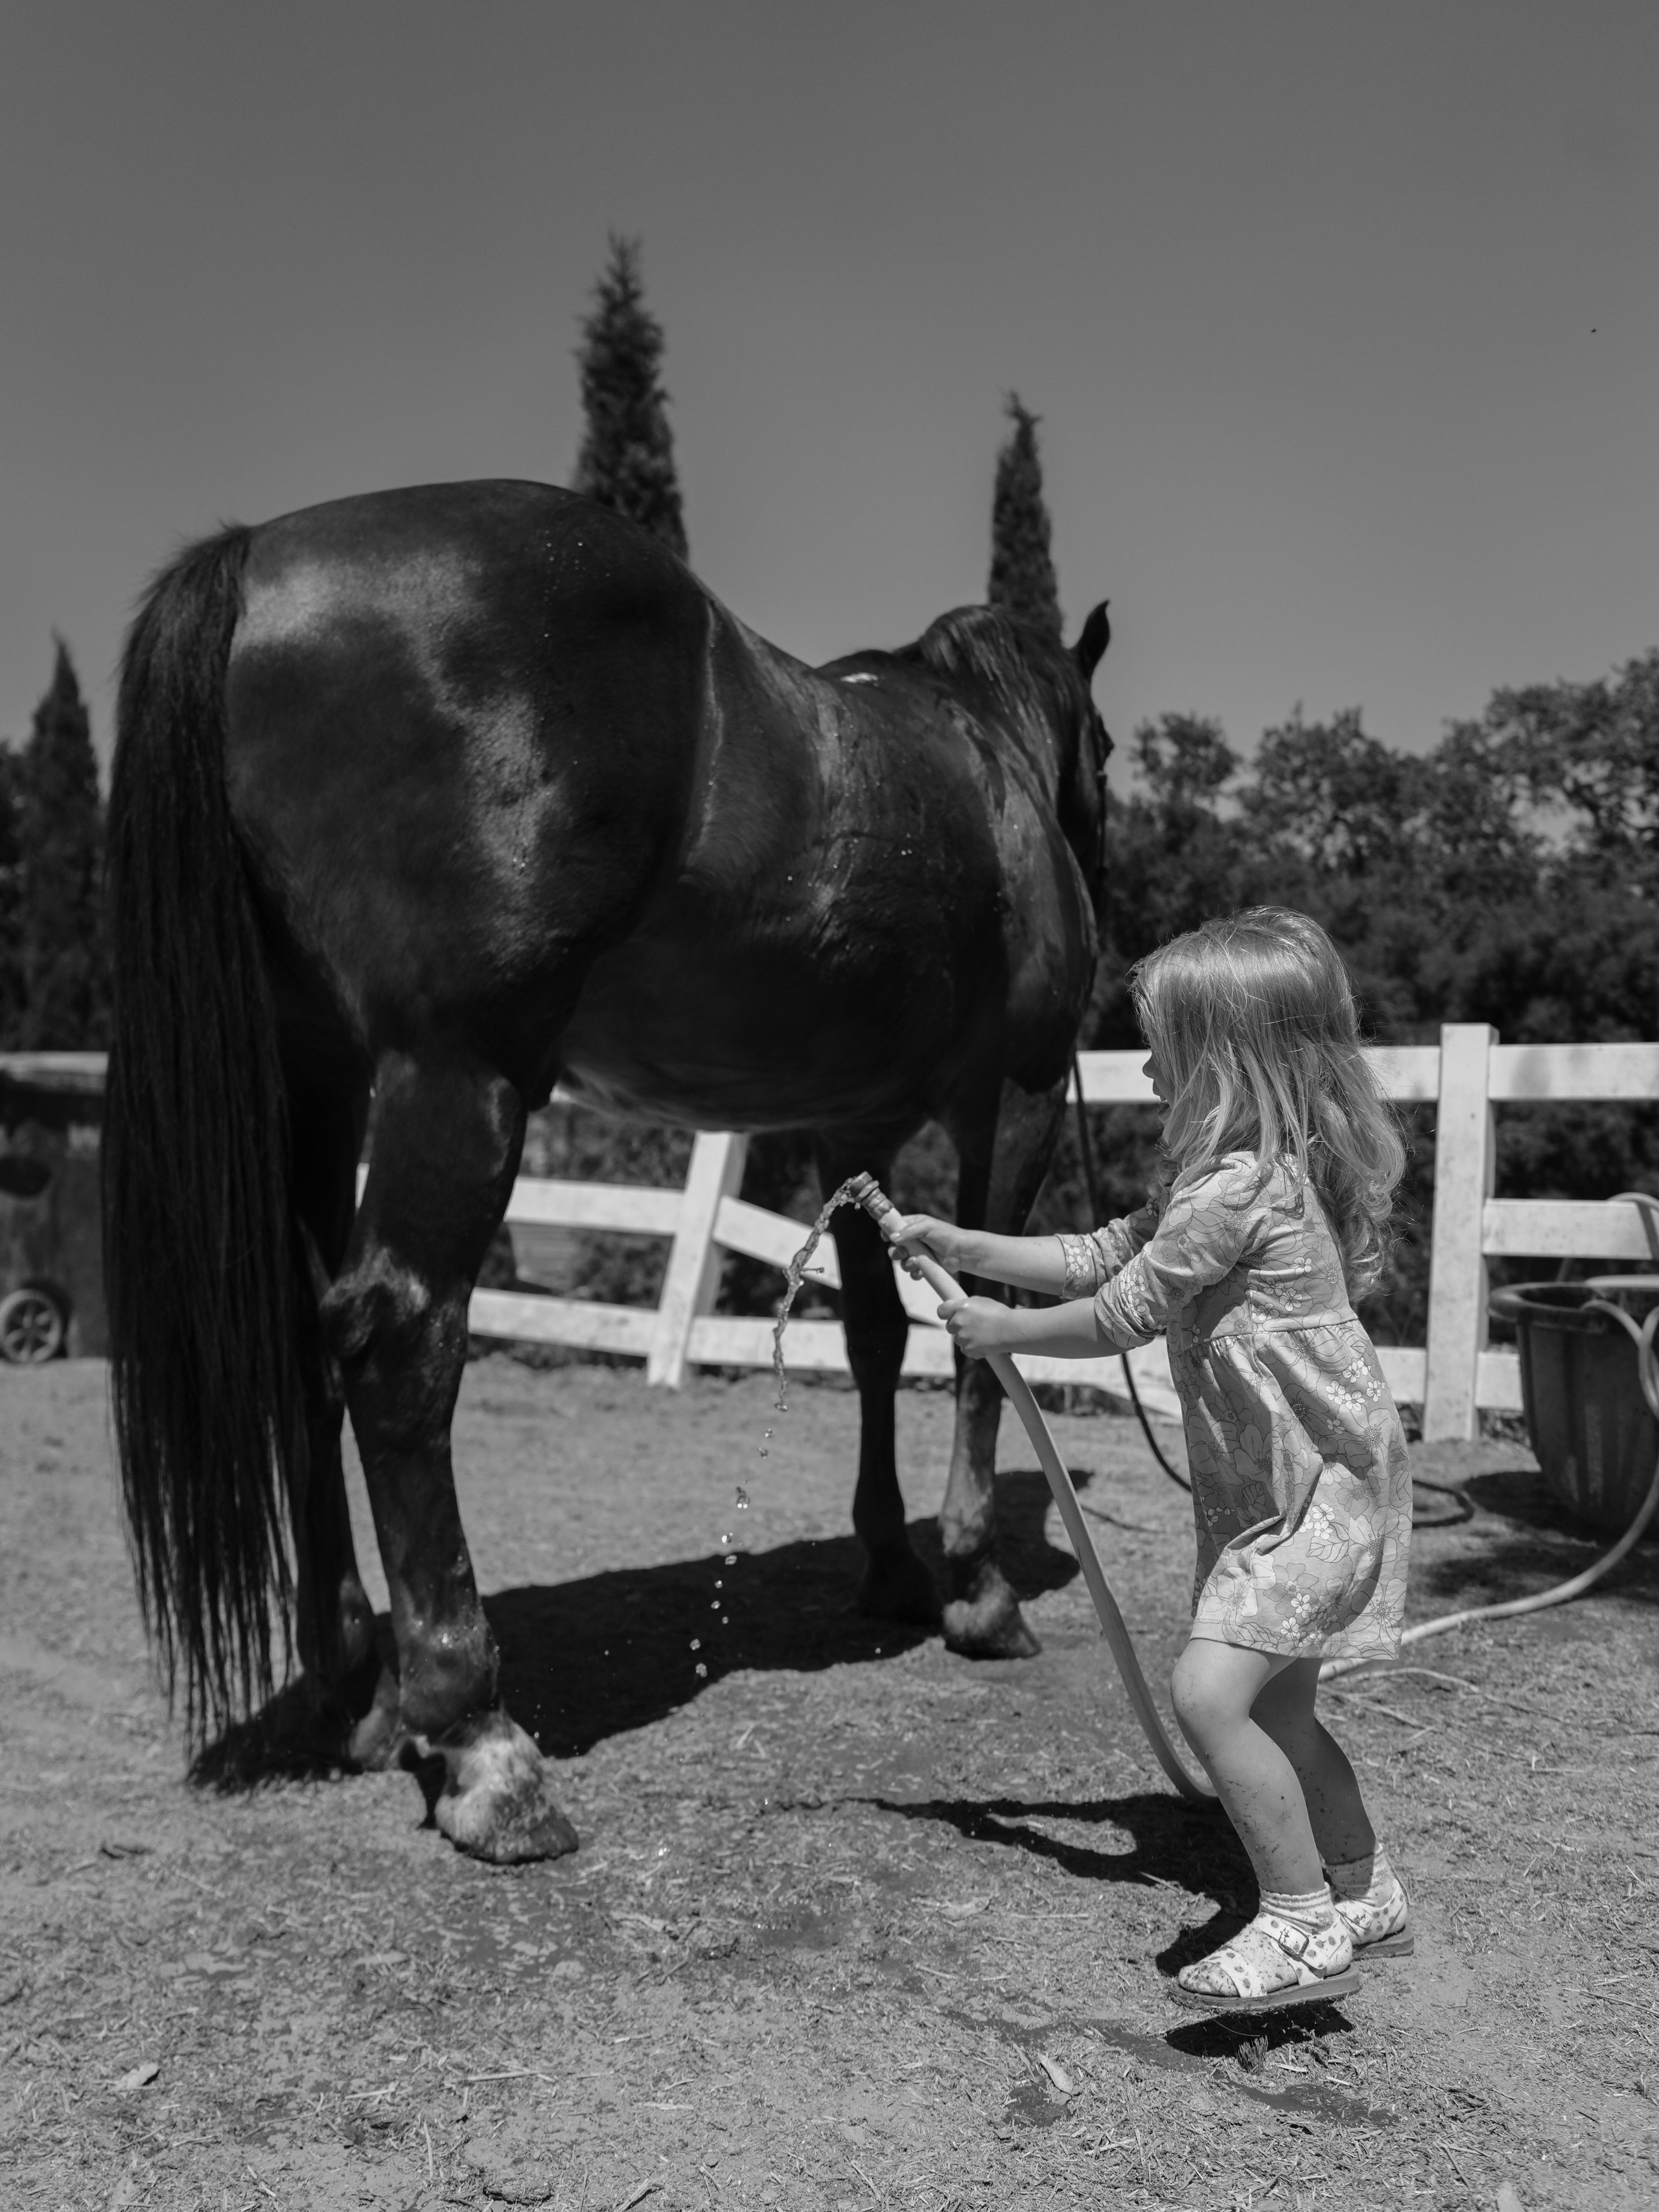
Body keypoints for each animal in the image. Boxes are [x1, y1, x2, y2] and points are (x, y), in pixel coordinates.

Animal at [104, 479, 1111, 1863]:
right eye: (1105, 753)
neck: (984, 766)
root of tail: (256, 562)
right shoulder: (1009, 1103)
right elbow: (980, 1338)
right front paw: (979, 1590)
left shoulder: (851, 1130)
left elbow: (873, 1340)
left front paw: (896, 1568)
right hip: (455, 1071)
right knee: (398, 1339)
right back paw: (479, 1742)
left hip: (318, 1073)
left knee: (304, 1347)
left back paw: (355, 1693)